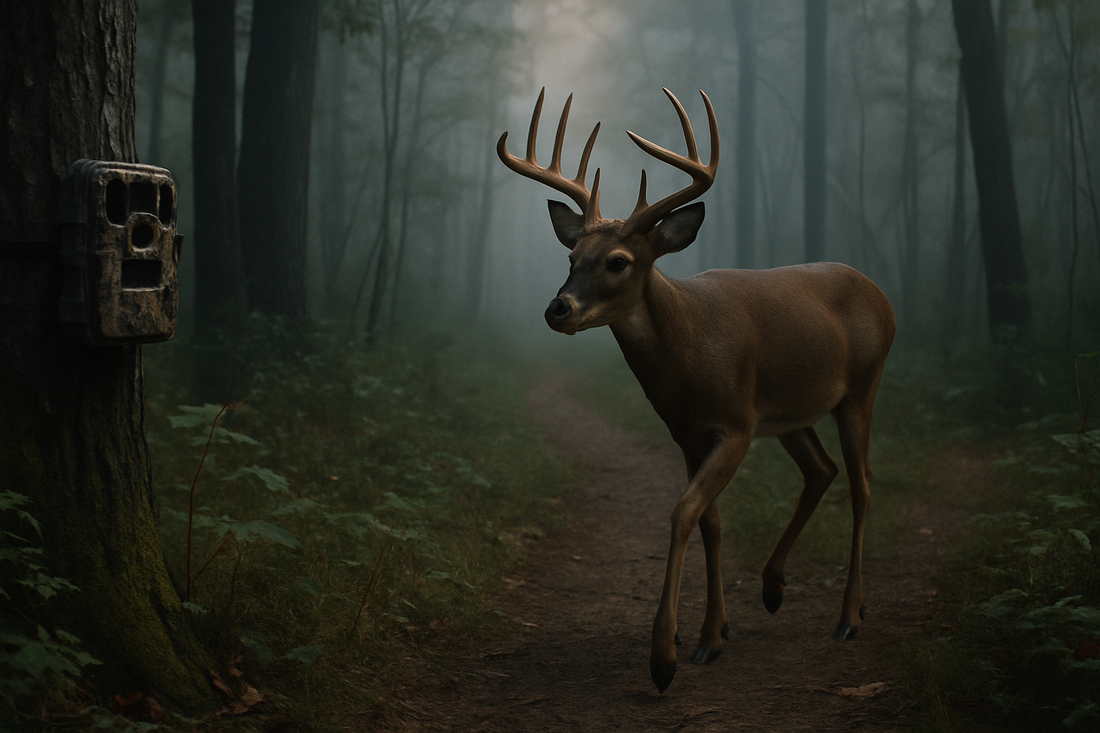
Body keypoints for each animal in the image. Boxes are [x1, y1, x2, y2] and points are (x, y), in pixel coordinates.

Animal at [497, 88, 896, 693]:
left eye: (619, 261)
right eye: (570, 257)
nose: (557, 309)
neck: (688, 353)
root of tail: (882, 296)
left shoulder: (734, 425)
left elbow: (683, 512)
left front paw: (667, 655)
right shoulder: (687, 433)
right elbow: (710, 520)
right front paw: (714, 632)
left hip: (861, 388)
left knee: (863, 482)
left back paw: (850, 616)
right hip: (791, 414)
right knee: (821, 470)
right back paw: (773, 587)